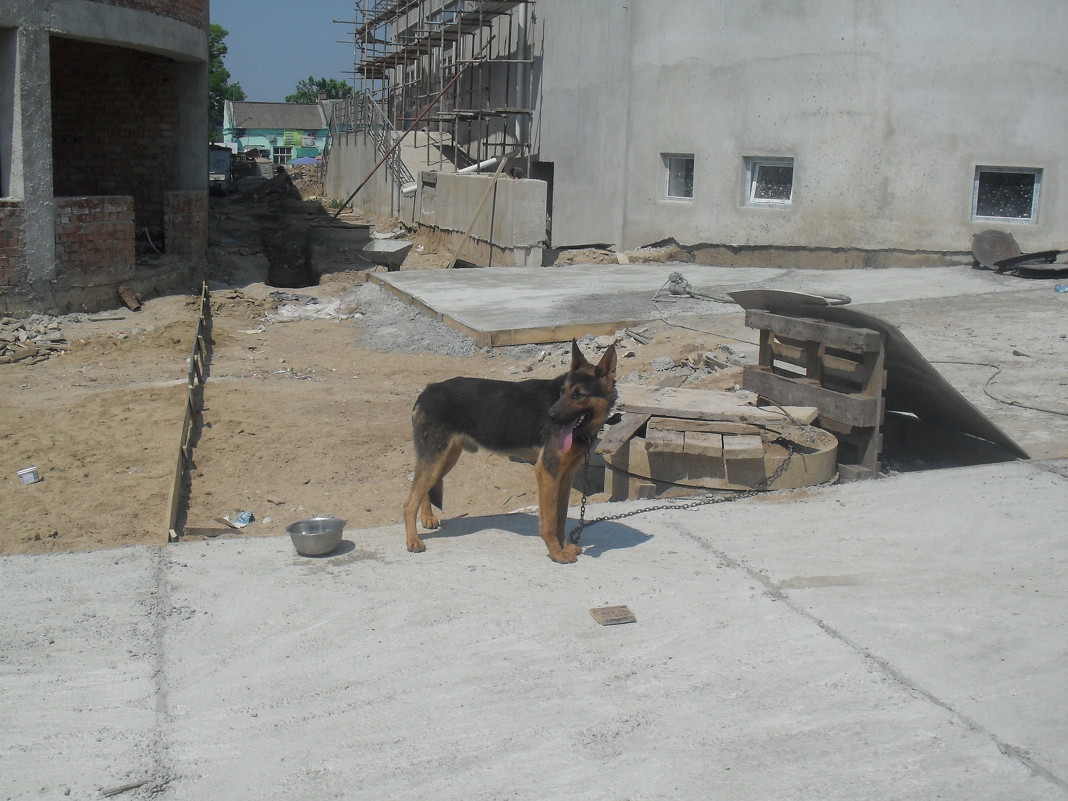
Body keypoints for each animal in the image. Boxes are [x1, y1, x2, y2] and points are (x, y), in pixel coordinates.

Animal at [401, 339, 619, 563]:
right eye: (562, 391)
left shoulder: (565, 475)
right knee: (409, 503)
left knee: (423, 489)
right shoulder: (547, 472)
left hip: (445, 459)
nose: (549, 416)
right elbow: (550, 522)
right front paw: (556, 552)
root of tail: (428, 389)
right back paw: (413, 541)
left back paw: (427, 517)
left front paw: (563, 546)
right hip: (436, 459)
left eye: (578, 395)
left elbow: (561, 517)